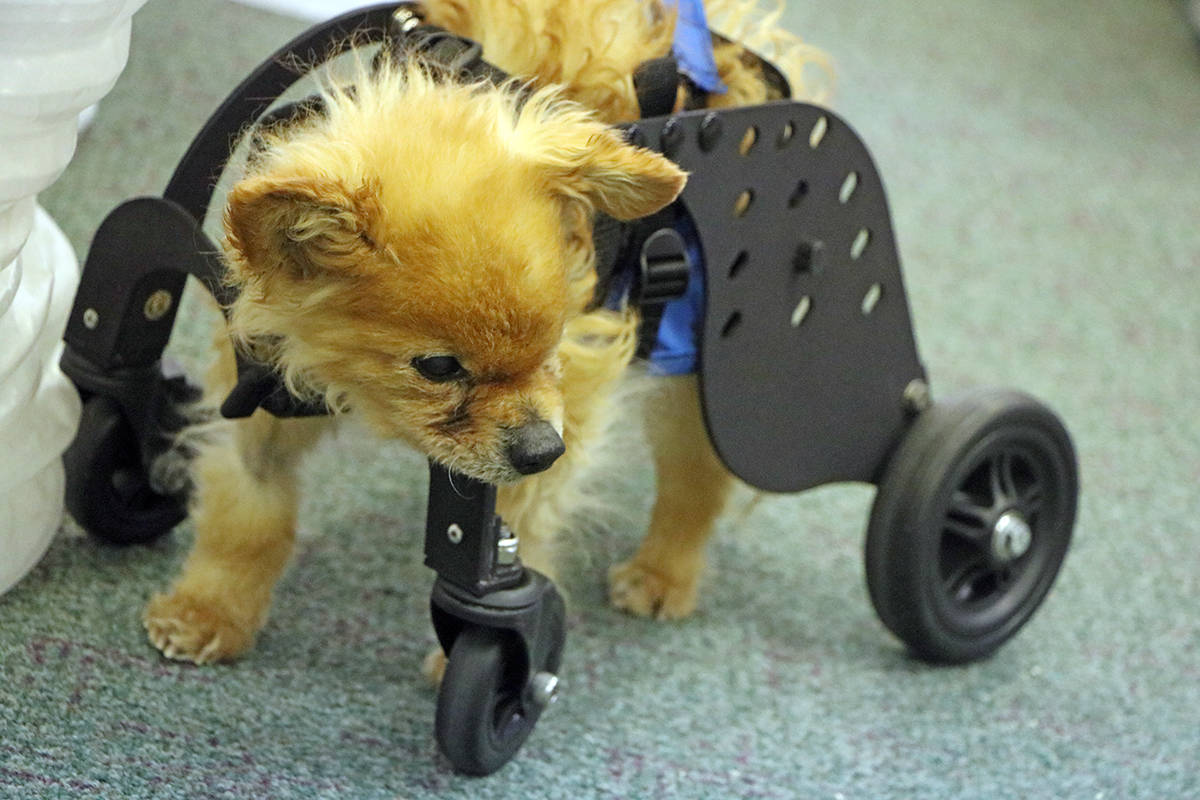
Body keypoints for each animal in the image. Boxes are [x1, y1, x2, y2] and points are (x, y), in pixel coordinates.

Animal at [145, 0, 830, 662]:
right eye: (438, 368)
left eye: (553, 342)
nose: (540, 448)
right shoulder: (266, 387)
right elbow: (248, 509)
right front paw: (210, 609)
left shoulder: (568, 411)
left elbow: (514, 539)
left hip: (697, 371)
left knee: (697, 477)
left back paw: (664, 572)